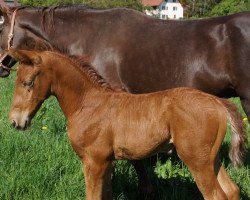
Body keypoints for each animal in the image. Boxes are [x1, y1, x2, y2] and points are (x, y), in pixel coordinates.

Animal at [8, 49, 247, 199]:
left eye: (27, 83)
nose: (14, 121)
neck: (88, 104)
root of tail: (217, 102)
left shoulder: (93, 162)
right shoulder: (106, 162)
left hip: (196, 161)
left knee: (216, 195)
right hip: (210, 159)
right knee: (231, 191)